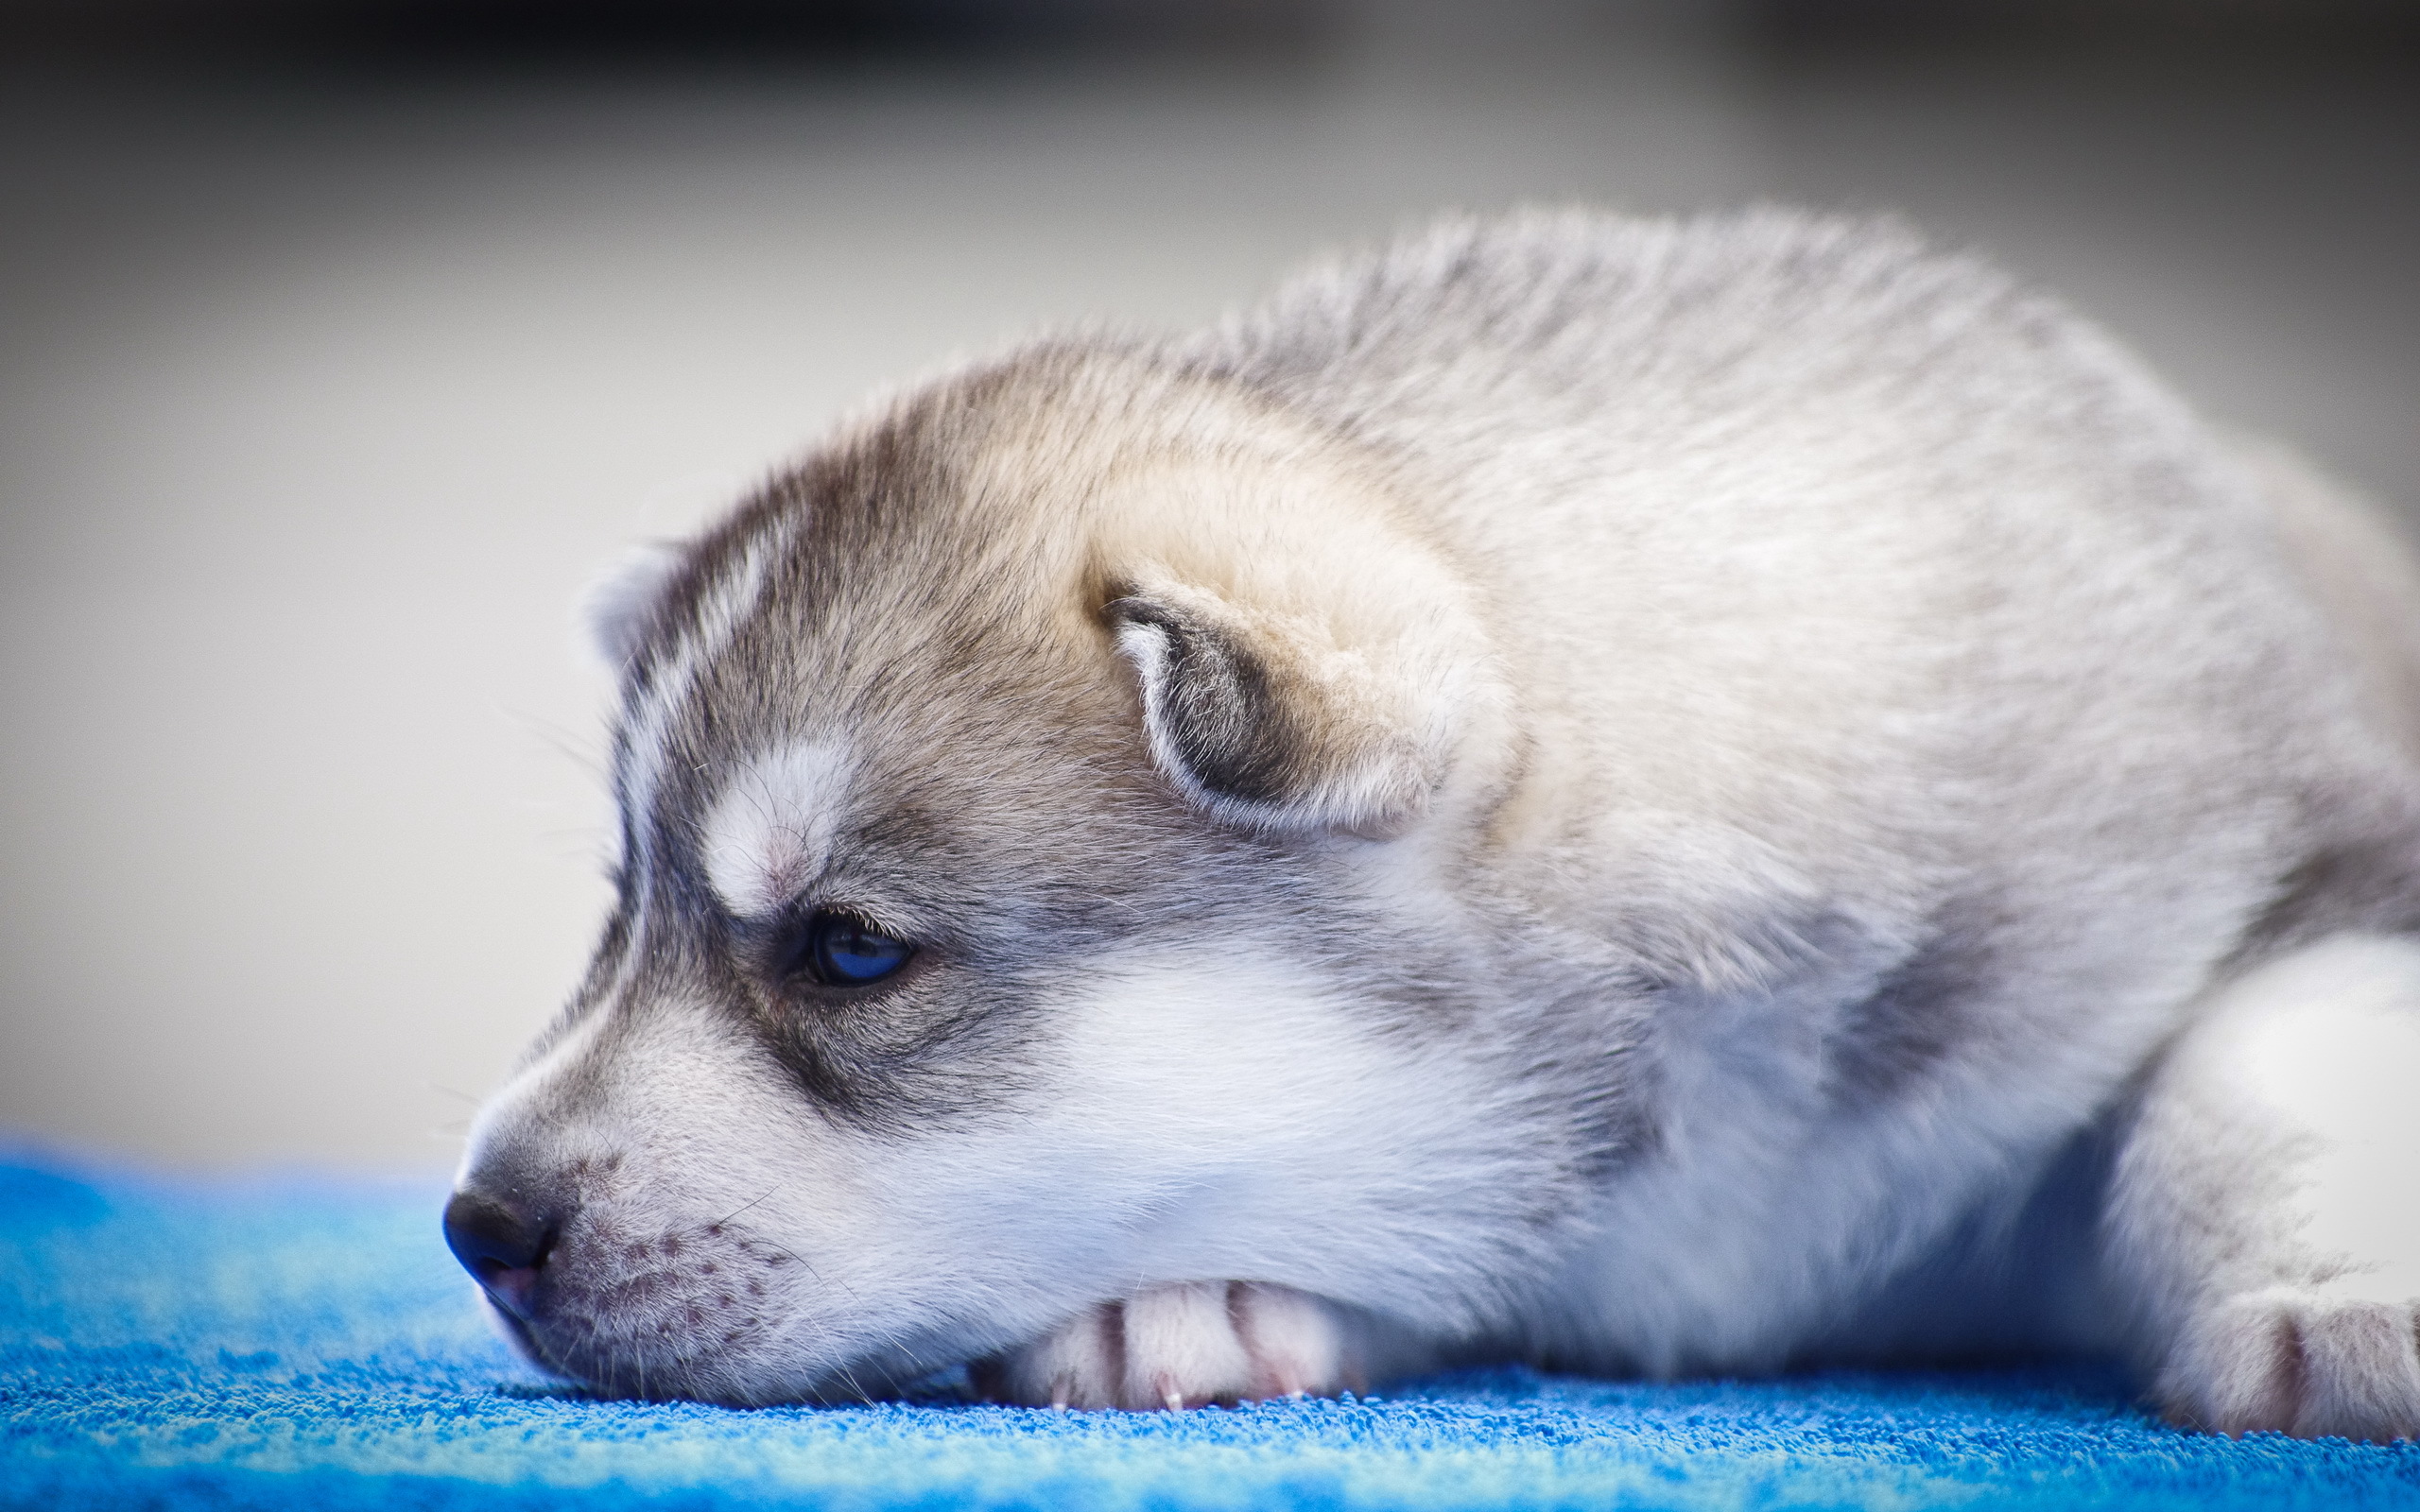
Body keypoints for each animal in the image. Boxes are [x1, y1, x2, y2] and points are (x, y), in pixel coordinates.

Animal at [450, 206, 2420, 1432]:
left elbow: (2259, 1039)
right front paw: (1197, 1299)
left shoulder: (2307, 852)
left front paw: (2337, 1291)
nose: (478, 1225)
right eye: (622, 911)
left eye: (851, 951)